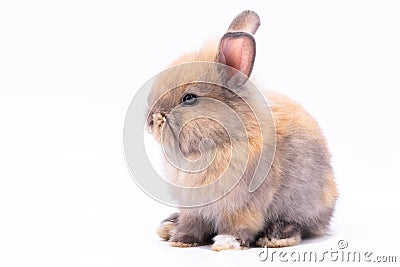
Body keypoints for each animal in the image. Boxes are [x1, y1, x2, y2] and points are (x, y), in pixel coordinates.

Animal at [145, 8, 336, 251]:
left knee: (299, 225)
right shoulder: (192, 208)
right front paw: (181, 240)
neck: (218, 142)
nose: (150, 120)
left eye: (189, 98)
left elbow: (238, 226)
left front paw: (226, 242)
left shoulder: (243, 206)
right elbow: (192, 225)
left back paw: (275, 237)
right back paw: (168, 225)